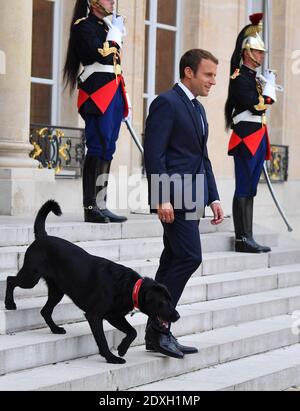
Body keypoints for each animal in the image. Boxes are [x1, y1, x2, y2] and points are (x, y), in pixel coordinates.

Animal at [5, 201, 180, 366]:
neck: (128, 287)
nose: (177, 316)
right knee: (10, 280)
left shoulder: (114, 315)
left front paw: (122, 349)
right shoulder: (95, 316)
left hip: (57, 291)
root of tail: (43, 237)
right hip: (30, 278)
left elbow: (132, 332)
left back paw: (55, 329)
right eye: (163, 302)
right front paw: (112, 358)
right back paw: (9, 303)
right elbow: (102, 340)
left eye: (171, 300)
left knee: (45, 311)